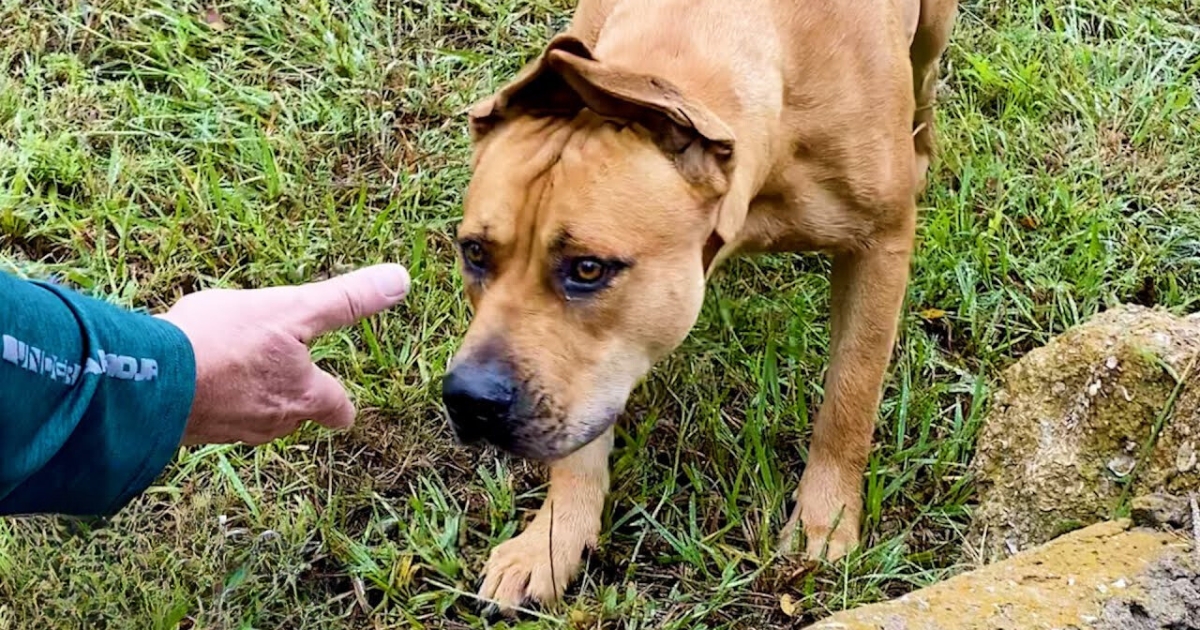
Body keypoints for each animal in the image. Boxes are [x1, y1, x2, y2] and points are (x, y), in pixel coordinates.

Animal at [441, 0, 955, 612]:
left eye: (588, 269)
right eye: (474, 252)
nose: (469, 398)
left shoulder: (878, 248)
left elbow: (849, 400)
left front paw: (825, 521)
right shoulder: (586, 380)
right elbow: (580, 442)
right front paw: (553, 539)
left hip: (934, 31)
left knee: (925, 76)